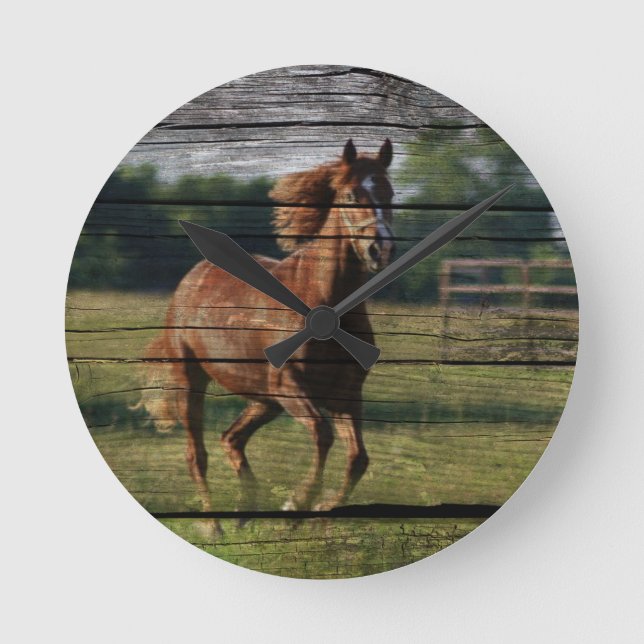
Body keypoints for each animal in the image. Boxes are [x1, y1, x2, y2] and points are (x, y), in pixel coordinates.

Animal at [139, 139, 395, 529]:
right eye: (352, 195)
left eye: (390, 194)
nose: (380, 249)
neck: (320, 298)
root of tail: (193, 278)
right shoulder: (290, 387)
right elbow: (322, 434)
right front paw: (295, 506)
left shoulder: (346, 394)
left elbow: (358, 458)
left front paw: (319, 508)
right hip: (194, 379)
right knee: (197, 455)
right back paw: (213, 526)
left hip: (262, 399)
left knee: (231, 439)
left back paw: (245, 512)